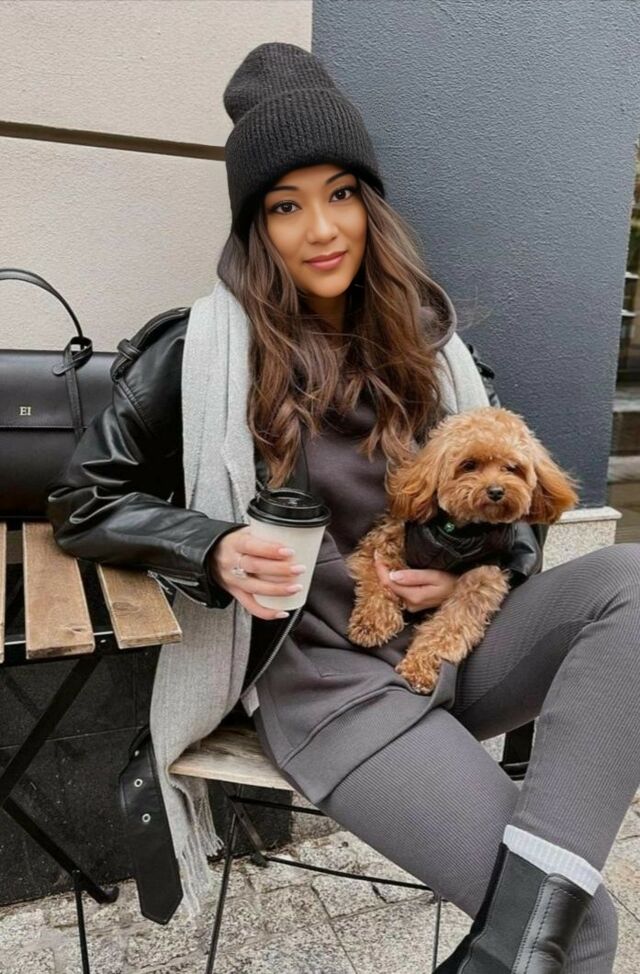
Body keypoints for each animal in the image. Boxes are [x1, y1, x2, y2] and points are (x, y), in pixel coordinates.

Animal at [345, 406, 580, 693]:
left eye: (511, 468)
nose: (496, 491)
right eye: (469, 465)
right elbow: (377, 583)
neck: (455, 534)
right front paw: (370, 624)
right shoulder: (384, 542)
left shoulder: (481, 579)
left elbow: (450, 626)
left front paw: (419, 668)